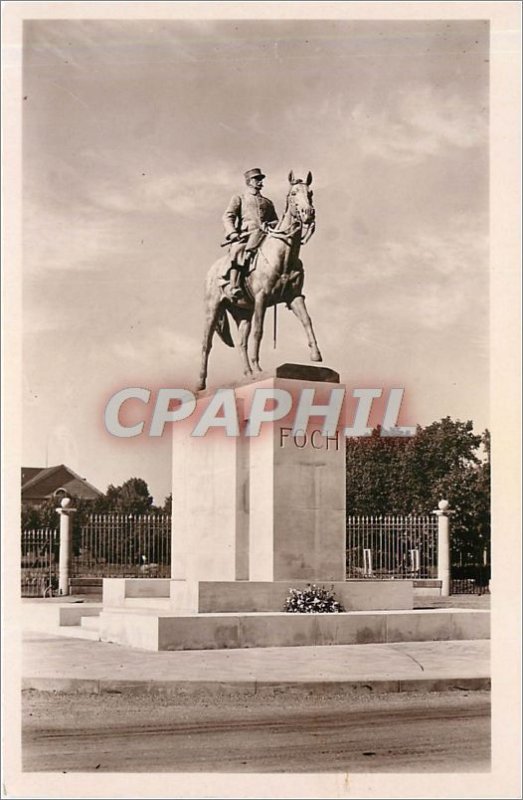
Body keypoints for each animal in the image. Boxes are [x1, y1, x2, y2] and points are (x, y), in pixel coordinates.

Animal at [198, 171, 324, 390]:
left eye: (310, 193)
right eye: (293, 193)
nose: (308, 213)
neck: (283, 256)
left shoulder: (295, 297)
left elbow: (307, 321)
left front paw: (315, 354)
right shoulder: (261, 298)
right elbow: (259, 331)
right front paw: (259, 368)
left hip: (242, 312)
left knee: (241, 343)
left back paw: (248, 374)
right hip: (212, 309)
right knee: (207, 343)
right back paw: (200, 383)